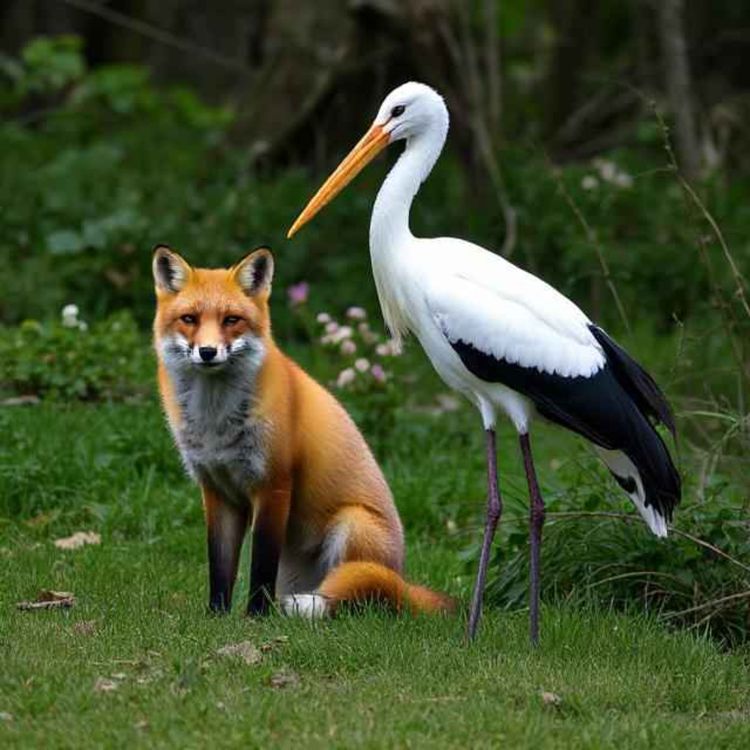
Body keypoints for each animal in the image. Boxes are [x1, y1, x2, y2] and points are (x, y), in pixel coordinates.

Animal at [152, 245, 453, 618]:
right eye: (190, 319)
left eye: (231, 320)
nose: (207, 352)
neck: (215, 423)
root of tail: (402, 579)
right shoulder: (217, 490)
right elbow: (220, 567)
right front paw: (217, 616)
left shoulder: (274, 484)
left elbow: (260, 566)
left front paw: (255, 617)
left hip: (352, 526)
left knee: (363, 601)